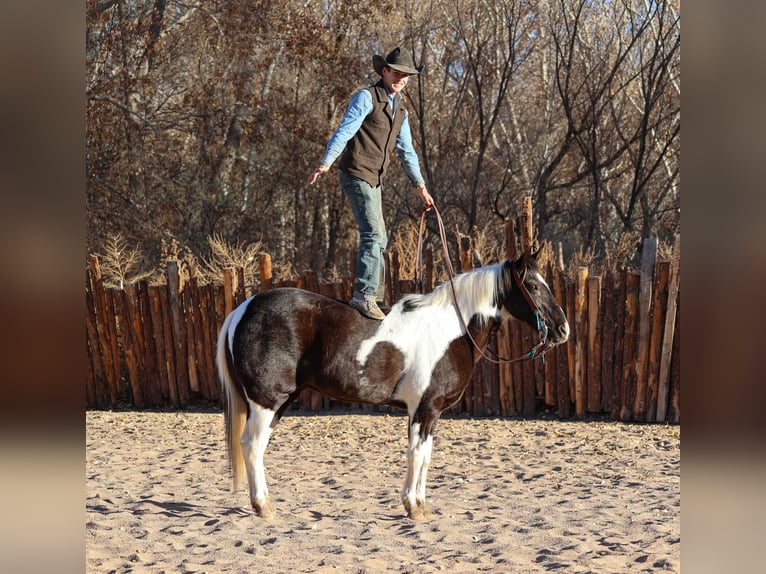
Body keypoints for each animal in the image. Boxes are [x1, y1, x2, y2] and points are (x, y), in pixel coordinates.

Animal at [215, 248, 569, 520]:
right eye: (533, 286)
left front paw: (421, 506)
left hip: (280, 403)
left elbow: (426, 456)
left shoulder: (433, 412)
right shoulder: (423, 408)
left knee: (257, 446)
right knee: (252, 445)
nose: (563, 329)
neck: (452, 328)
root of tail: (242, 309)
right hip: (267, 401)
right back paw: (264, 507)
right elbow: (416, 454)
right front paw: (412, 507)